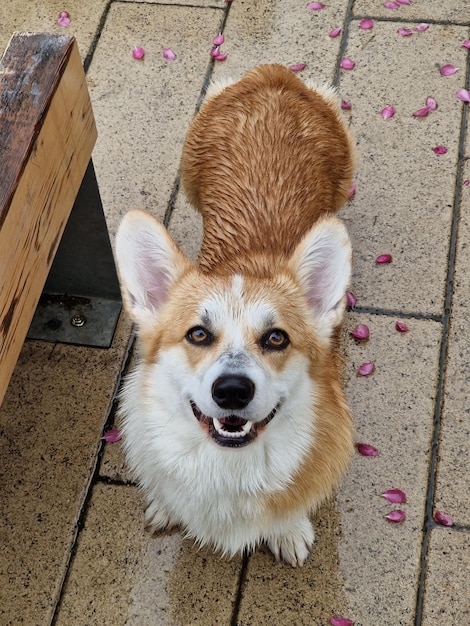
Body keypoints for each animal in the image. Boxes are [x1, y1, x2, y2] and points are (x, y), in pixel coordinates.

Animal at [115, 63, 354, 564]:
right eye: (198, 334)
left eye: (277, 338)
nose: (231, 391)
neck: (229, 463)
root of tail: (276, 76)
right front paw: (168, 505)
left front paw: (288, 530)